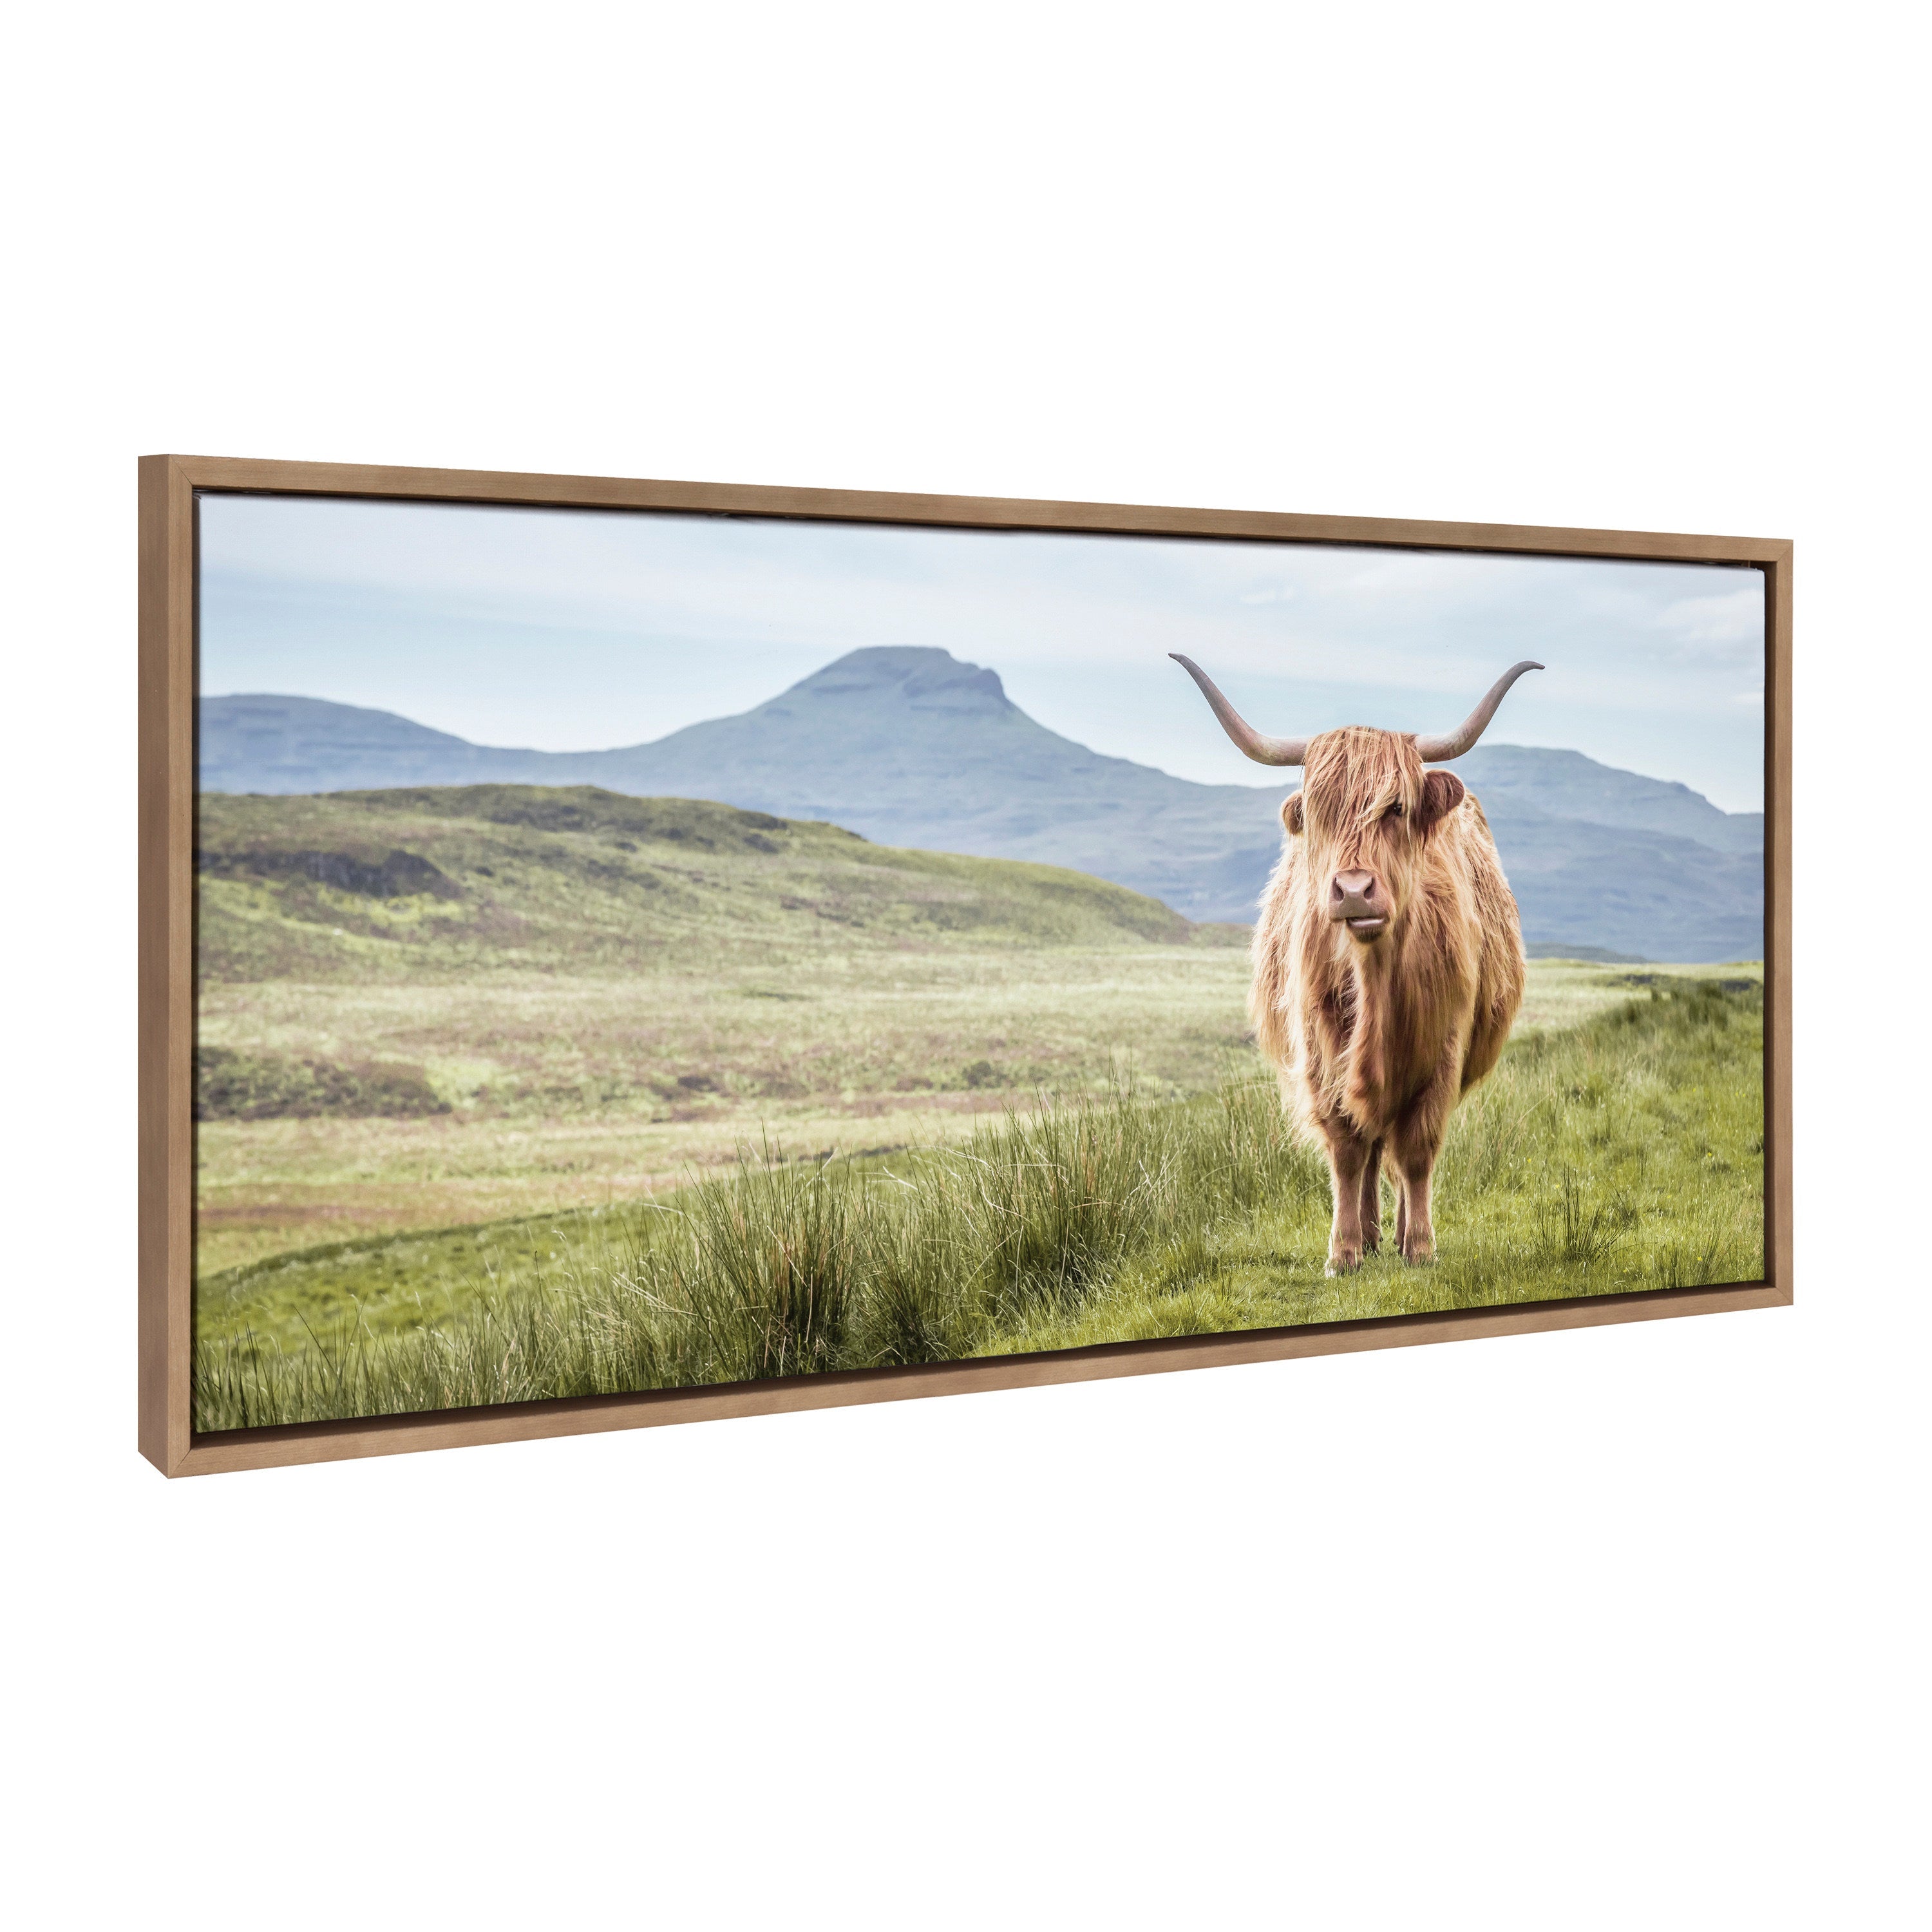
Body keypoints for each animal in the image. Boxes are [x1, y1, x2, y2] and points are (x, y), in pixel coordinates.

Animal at [1172, 655, 1542, 1276]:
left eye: (1396, 808)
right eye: (1319, 813)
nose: (1351, 891)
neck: (1375, 983)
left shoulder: (1444, 1049)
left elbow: (1416, 1150)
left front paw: (1420, 1246)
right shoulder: (1321, 1051)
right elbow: (1348, 1148)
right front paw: (1343, 1252)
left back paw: (1397, 1231)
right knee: (1369, 1150)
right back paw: (1368, 1234)